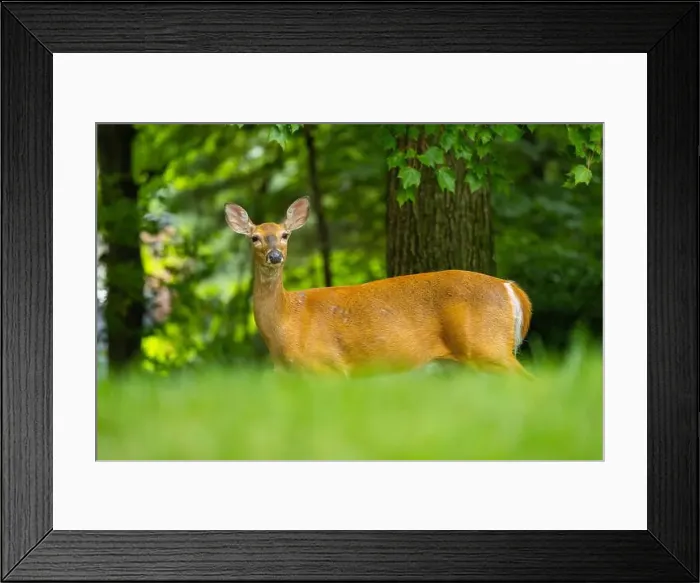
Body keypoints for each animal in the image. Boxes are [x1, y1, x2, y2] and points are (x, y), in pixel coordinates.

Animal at [224, 197, 533, 378]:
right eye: (254, 237)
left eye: (285, 234)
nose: (275, 256)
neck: (286, 321)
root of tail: (511, 288)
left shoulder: (327, 366)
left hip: (489, 347)